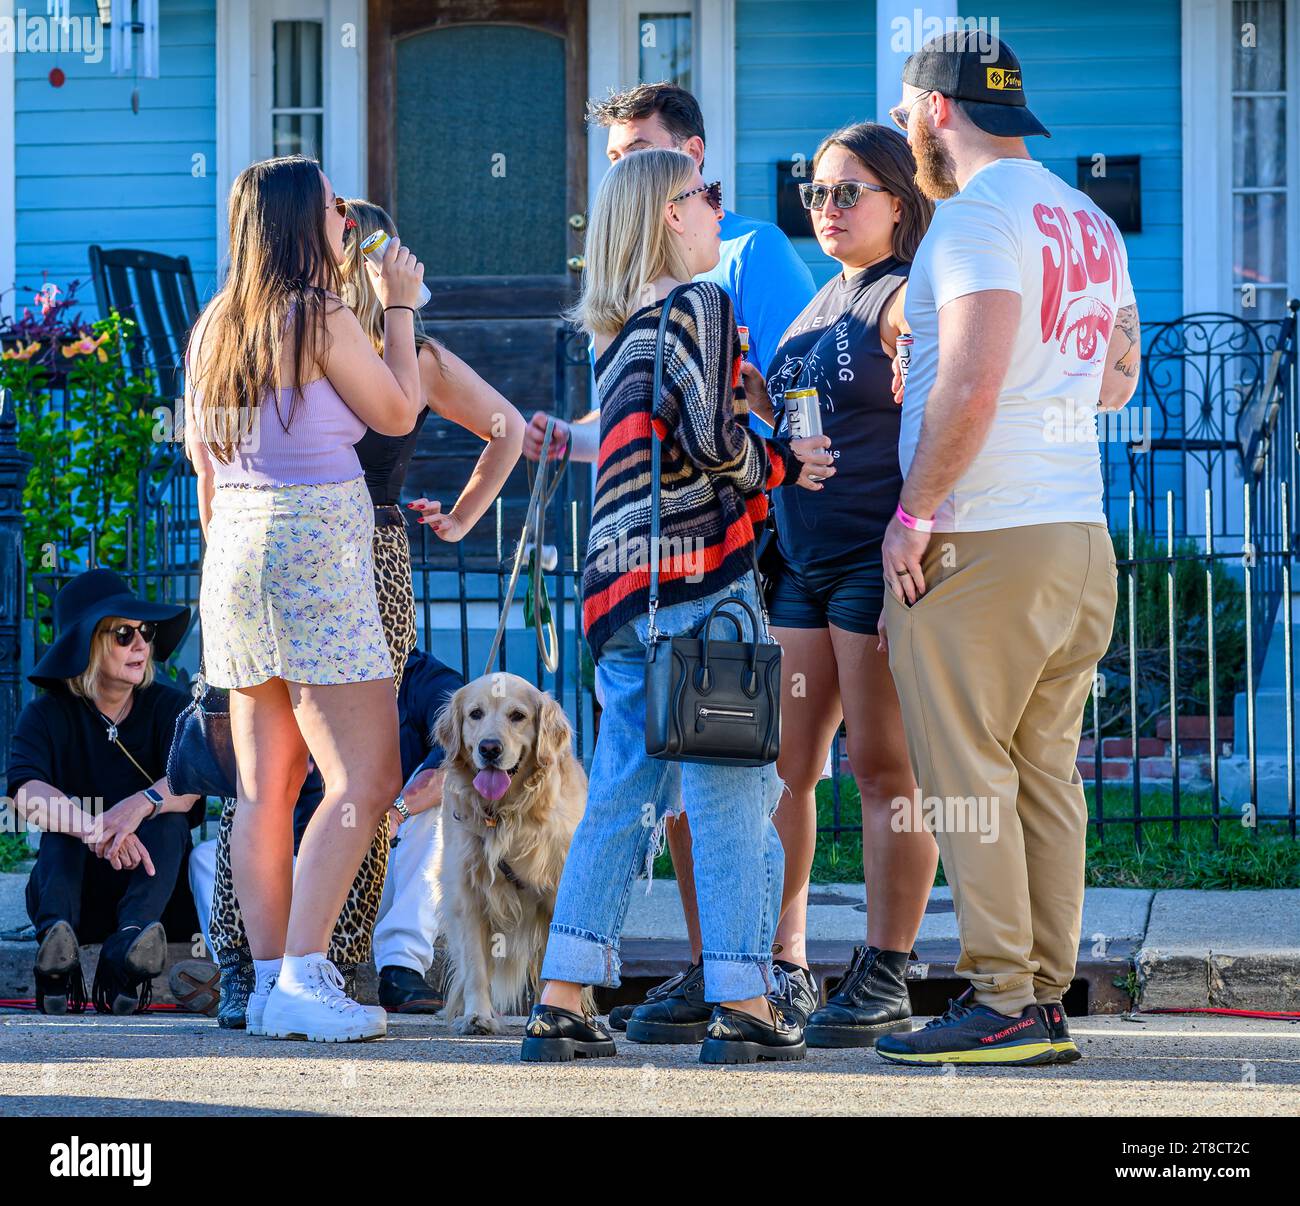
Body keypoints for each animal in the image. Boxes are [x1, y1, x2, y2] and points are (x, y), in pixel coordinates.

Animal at [431, 675, 590, 1029]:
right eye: (475, 714)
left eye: (518, 716)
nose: (489, 748)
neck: (504, 814)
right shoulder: (469, 896)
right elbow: (476, 966)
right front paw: (477, 1015)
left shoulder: (555, 896)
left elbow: (555, 964)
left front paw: (554, 1013)